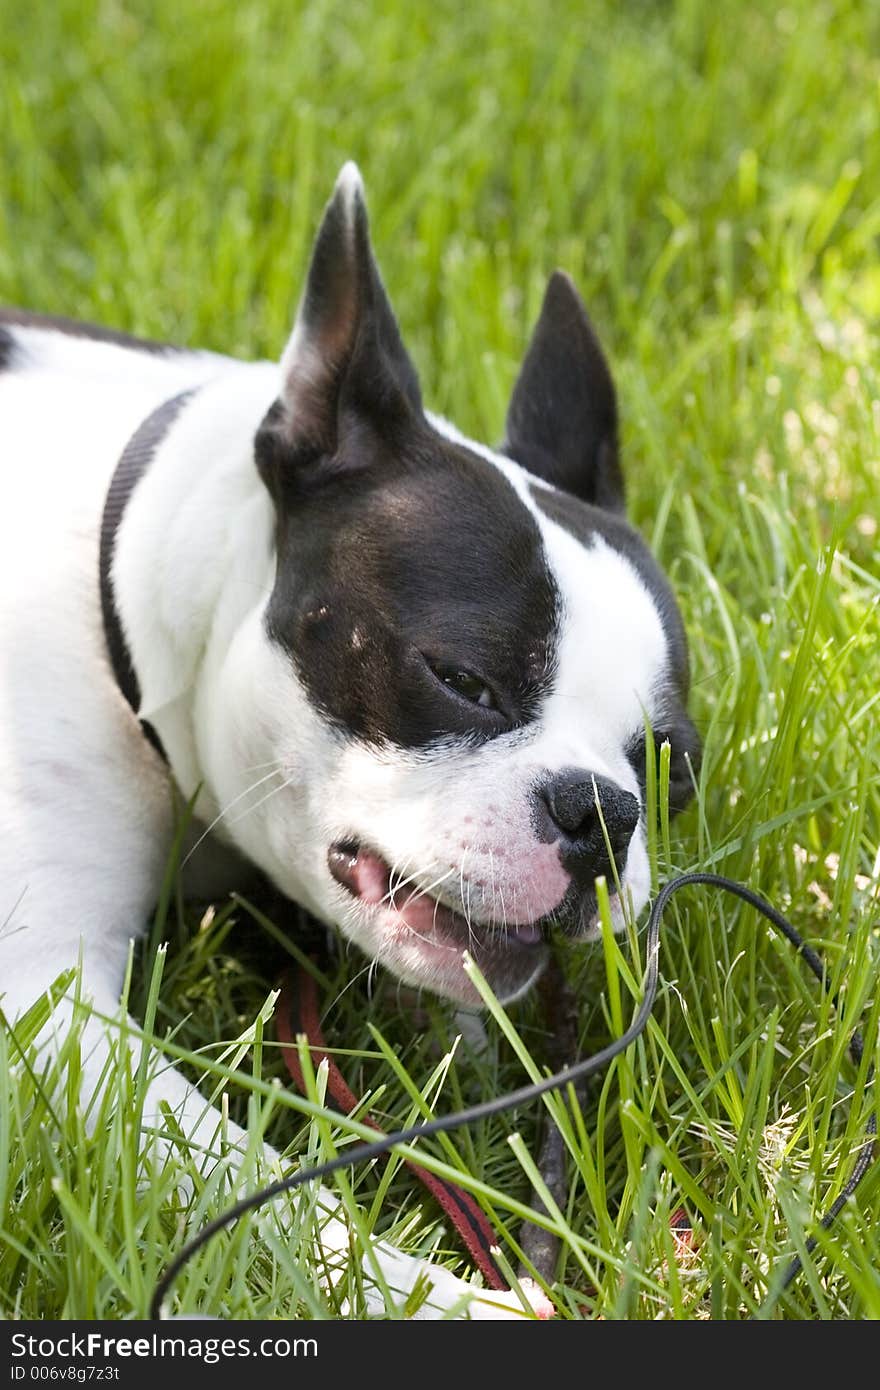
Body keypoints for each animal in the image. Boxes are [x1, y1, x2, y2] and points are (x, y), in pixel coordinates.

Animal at [0, 162, 700, 1312]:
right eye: (462, 680)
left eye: (672, 765)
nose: (600, 812)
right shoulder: (45, 1011)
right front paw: (450, 1298)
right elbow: (260, 1189)